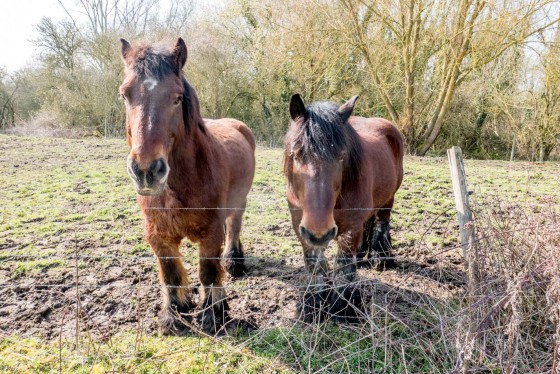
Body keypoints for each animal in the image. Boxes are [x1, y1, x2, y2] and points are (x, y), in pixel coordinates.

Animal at [121, 38, 258, 336]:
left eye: (176, 97)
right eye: (125, 95)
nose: (147, 171)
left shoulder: (211, 234)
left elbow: (208, 272)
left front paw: (213, 314)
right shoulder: (157, 235)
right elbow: (171, 273)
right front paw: (174, 314)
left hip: (239, 202)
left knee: (234, 227)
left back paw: (234, 261)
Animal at [284, 93, 402, 322]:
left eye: (341, 155)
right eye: (296, 153)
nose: (319, 231)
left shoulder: (350, 228)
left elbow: (344, 266)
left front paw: (342, 309)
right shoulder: (301, 227)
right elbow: (315, 265)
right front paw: (312, 307)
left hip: (388, 199)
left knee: (382, 223)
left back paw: (381, 258)